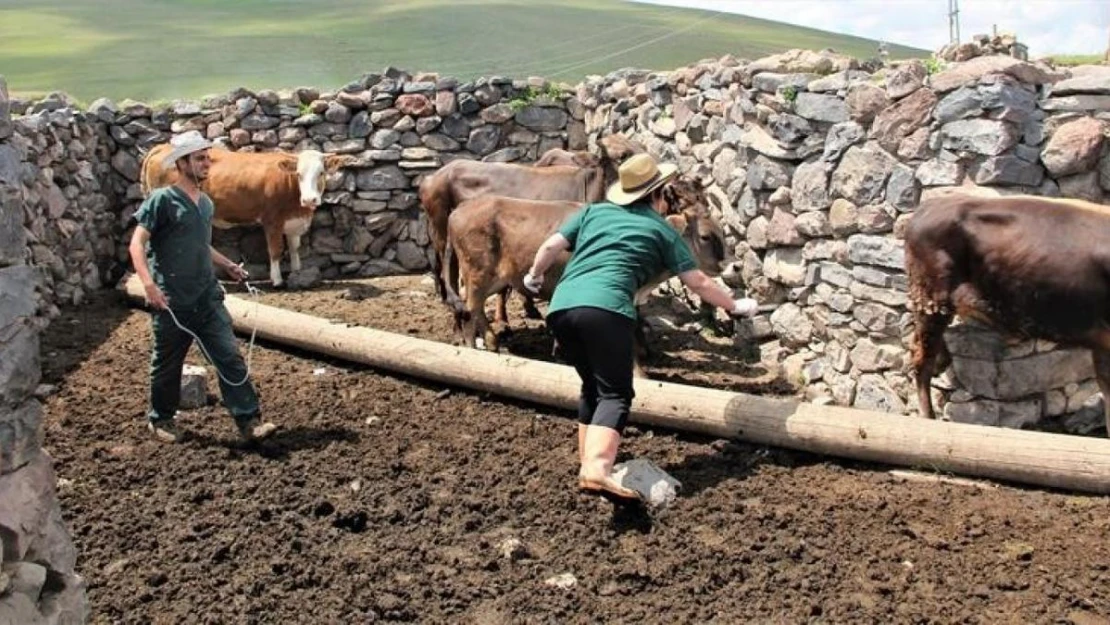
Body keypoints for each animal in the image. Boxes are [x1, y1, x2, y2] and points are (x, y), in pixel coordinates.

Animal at [138, 143, 352, 286]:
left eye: (321, 173)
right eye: (298, 174)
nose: (309, 199)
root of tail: (162, 146)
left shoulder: (293, 222)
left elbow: (293, 248)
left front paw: (297, 273)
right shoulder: (272, 220)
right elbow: (275, 250)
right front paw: (277, 280)